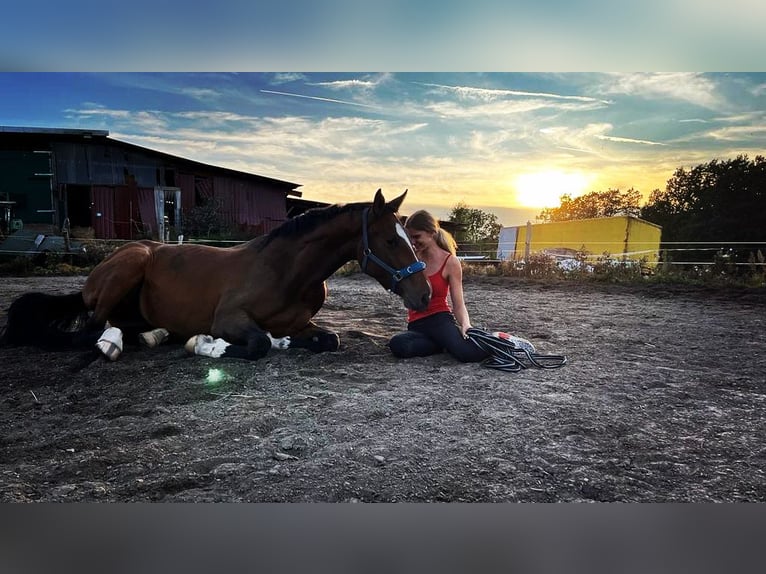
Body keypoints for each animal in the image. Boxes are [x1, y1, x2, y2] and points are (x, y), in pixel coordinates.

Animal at [1, 189, 432, 361]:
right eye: (390, 241)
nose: (424, 293)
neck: (287, 271)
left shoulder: (303, 323)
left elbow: (330, 339)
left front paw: (287, 342)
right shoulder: (229, 318)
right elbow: (257, 344)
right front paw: (207, 346)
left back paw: (152, 335)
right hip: (129, 266)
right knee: (90, 331)